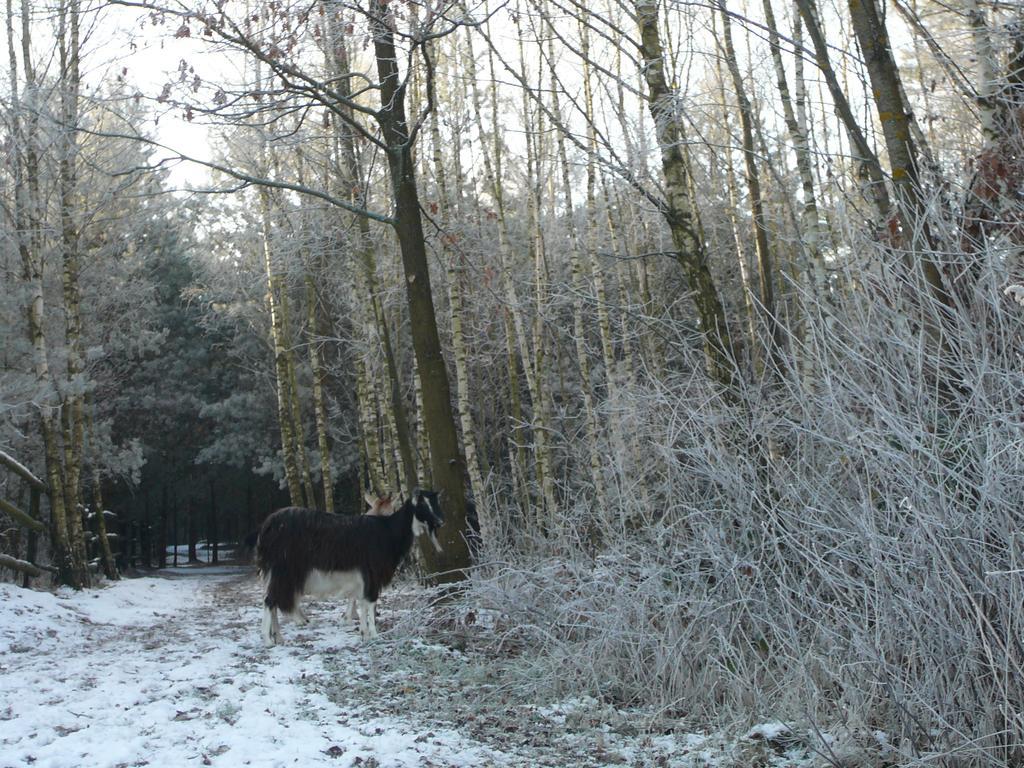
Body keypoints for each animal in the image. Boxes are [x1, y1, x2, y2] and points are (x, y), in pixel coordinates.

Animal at [253, 489, 442, 647]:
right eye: (422, 505)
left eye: (435, 503)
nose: (440, 522)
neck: (387, 531)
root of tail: (267, 527)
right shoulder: (372, 573)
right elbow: (370, 602)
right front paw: (374, 635)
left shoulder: (363, 578)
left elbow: (363, 602)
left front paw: (364, 633)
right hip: (283, 571)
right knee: (270, 600)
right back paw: (268, 640)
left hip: (274, 573)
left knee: (271, 600)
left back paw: (278, 637)